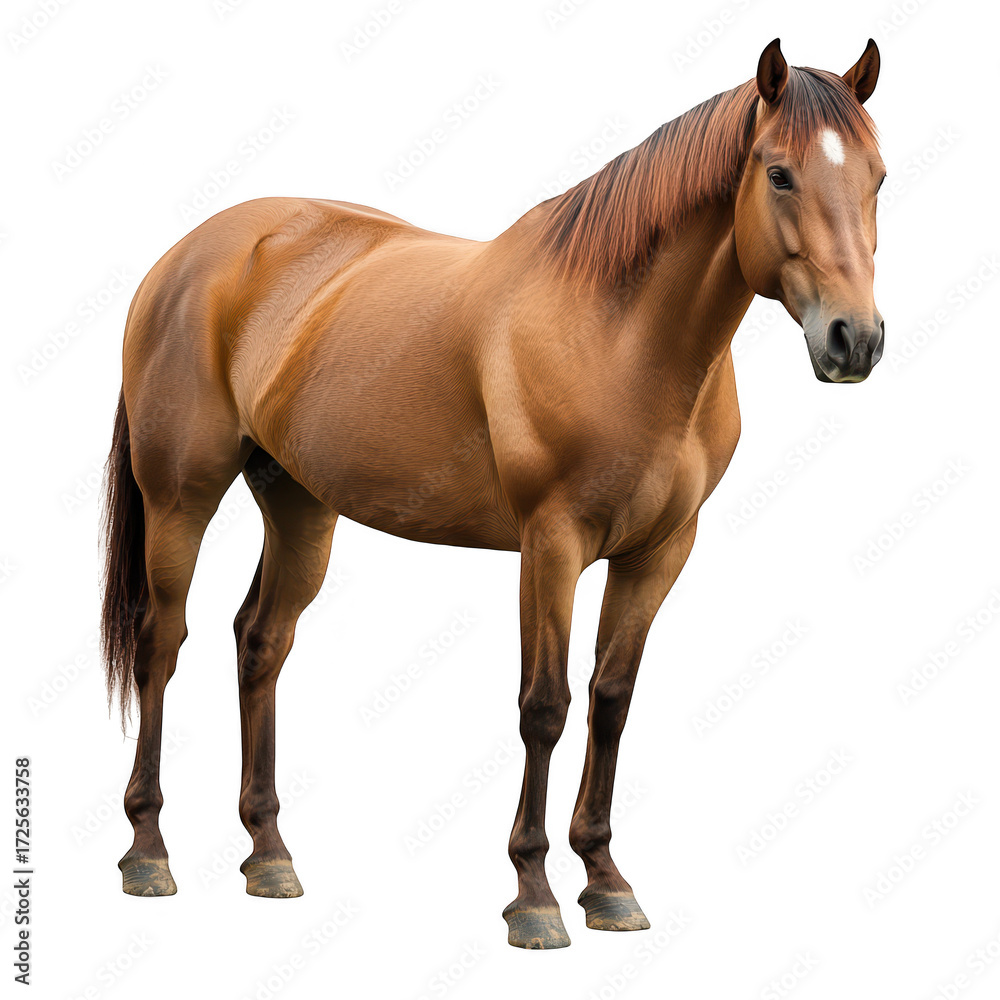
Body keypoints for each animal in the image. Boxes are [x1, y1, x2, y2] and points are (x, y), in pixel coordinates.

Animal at [101, 38, 885, 949]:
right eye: (780, 174)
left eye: (877, 176)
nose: (855, 340)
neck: (621, 331)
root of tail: (188, 255)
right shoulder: (552, 543)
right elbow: (544, 705)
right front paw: (535, 895)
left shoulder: (659, 552)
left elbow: (610, 701)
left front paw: (606, 882)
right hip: (180, 497)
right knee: (161, 642)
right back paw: (148, 852)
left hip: (299, 504)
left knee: (260, 641)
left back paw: (269, 855)